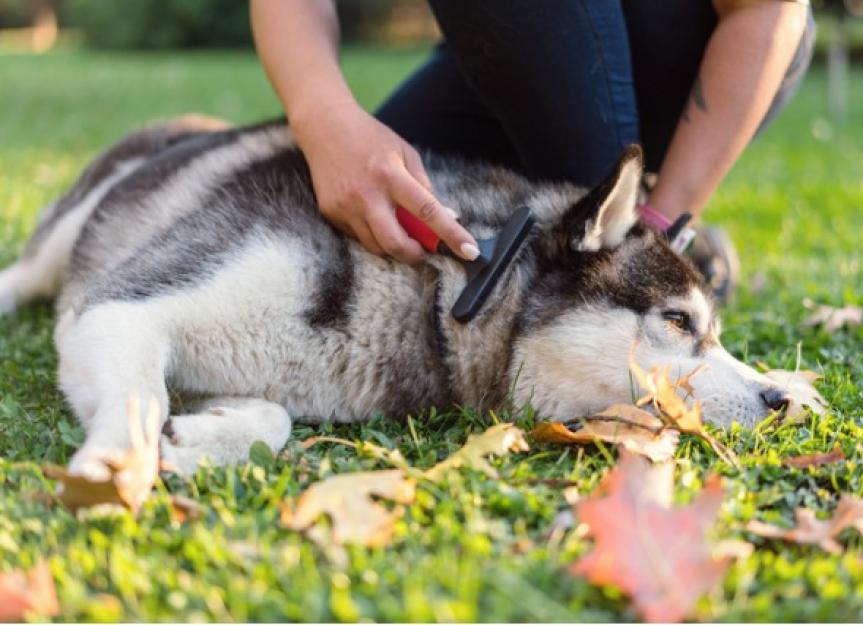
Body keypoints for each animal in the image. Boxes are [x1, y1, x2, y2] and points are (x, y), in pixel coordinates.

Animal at [0, 114, 788, 476]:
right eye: (678, 321)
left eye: (714, 333)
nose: (780, 399)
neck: (437, 294)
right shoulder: (117, 306)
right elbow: (140, 396)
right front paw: (117, 467)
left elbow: (269, 418)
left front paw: (190, 442)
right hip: (68, 234)